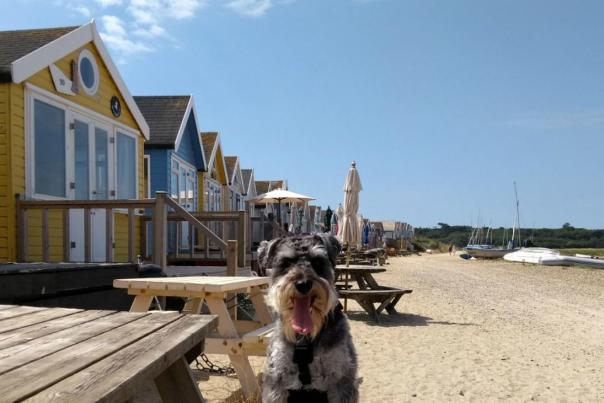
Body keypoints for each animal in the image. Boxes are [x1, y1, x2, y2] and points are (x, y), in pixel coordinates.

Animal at [260, 234, 358, 403]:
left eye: (317, 261)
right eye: (286, 262)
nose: (303, 284)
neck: (305, 338)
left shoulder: (340, 378)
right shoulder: (277, 378)